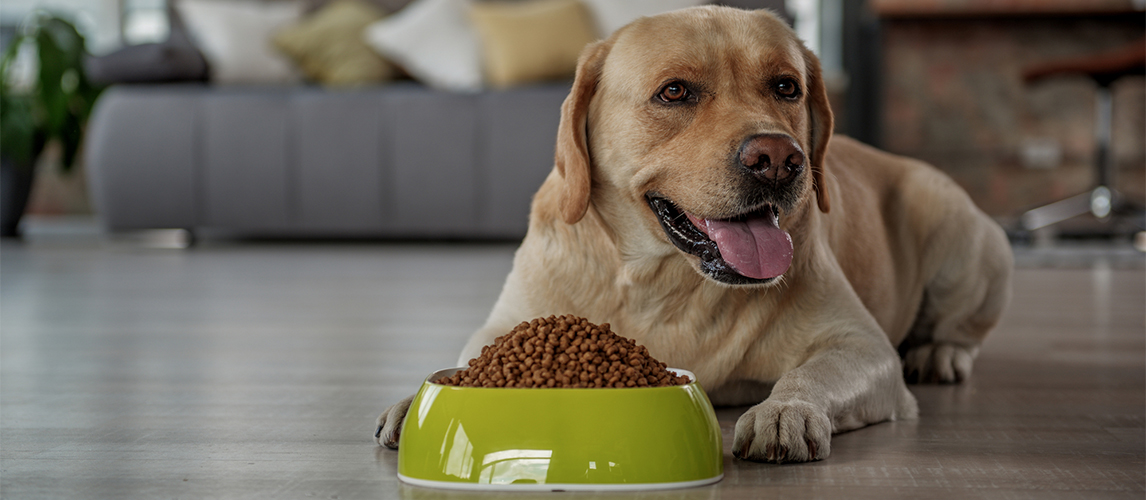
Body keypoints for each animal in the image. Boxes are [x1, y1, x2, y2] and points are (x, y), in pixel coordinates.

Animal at [378, 5, 1013, 463]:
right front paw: (415, 398)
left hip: (959, 229)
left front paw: (786, 411)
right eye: (675, 91)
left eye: (786, 87)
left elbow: (811, 371)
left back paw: (939, 354)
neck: (661, 280)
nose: (778, 159)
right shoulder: (507, 323)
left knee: (963, 329)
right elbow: (469, 360)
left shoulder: (861, 345)